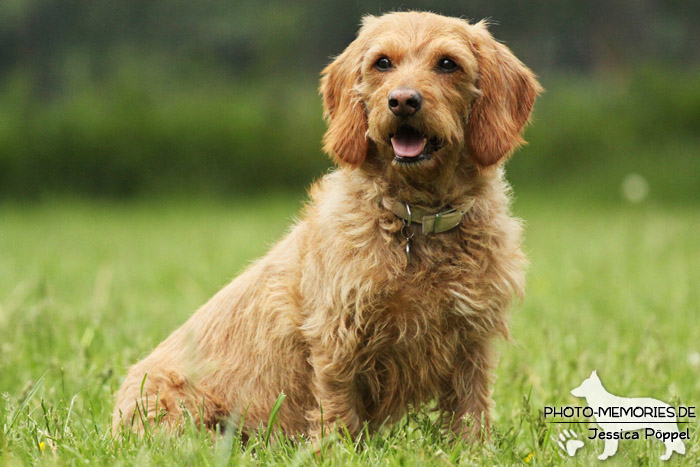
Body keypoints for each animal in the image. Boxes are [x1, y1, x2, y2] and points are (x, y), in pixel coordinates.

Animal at [113, 11, 540, 442]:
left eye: (448, 64)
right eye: (382, 62)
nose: (403, 100)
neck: (416, 218)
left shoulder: (471, 339)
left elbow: (470, 410)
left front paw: (473, 449)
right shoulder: (337, 334)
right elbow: (336, 407)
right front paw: (335, 449)